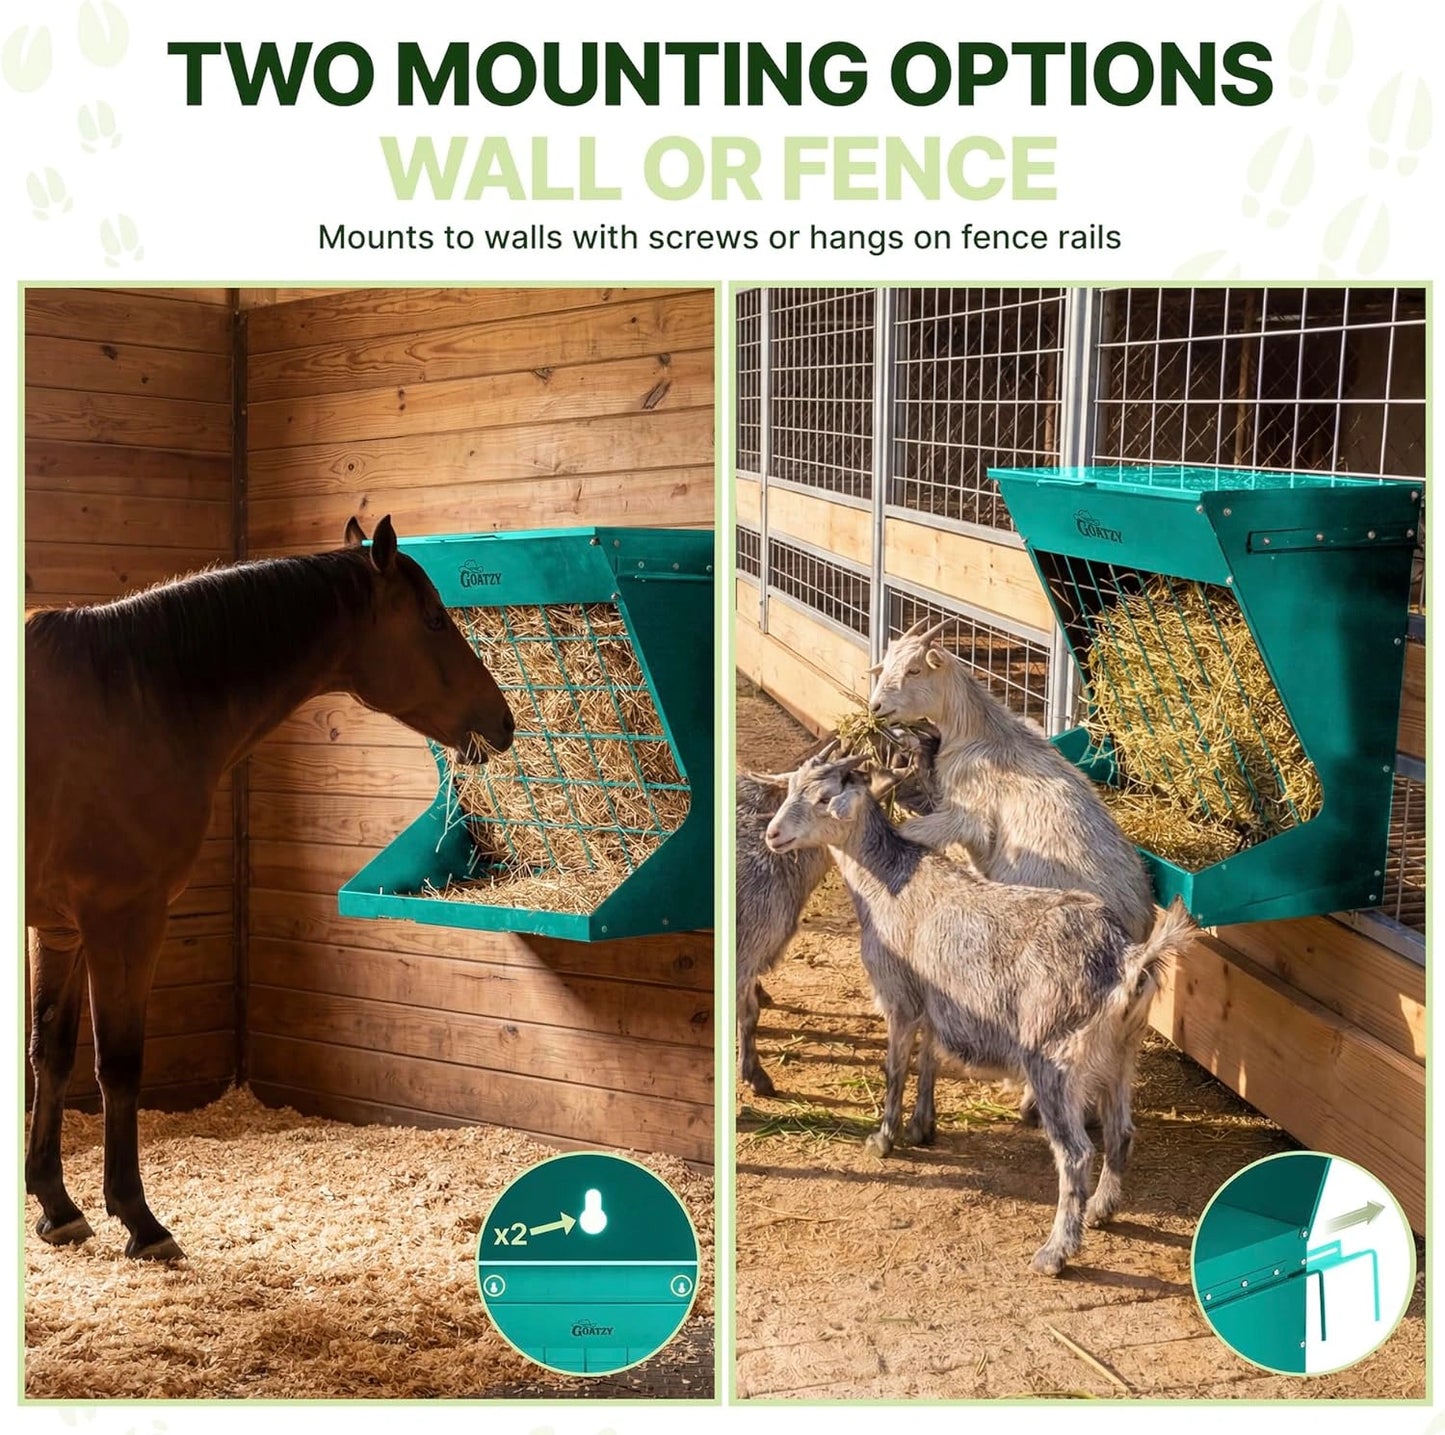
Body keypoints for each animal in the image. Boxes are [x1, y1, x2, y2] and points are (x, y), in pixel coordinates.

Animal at [24, 514, 515, 1260]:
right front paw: (140, 1219)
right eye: (434, 619)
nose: (503, 722)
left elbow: (50, 1053)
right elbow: (120, 1066)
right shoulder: (124, 921)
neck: (133, 698)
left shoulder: (59, 928)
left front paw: (56, 1206)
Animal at [764, 754, 1193, 1276]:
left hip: (1054, 1060)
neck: (891, 881)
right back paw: (1101, 1210)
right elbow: (929, 1059)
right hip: (1119, 1054)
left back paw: (1056, 1252)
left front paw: (883, 1139)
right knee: (1121, 1132)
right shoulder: (937, 1002)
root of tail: (1127, 961)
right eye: (789, 788)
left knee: (1075, 1154)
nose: (773, 834)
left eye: (824, 797)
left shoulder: (900, 997)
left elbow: (895, 1069)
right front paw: (922, 1127)